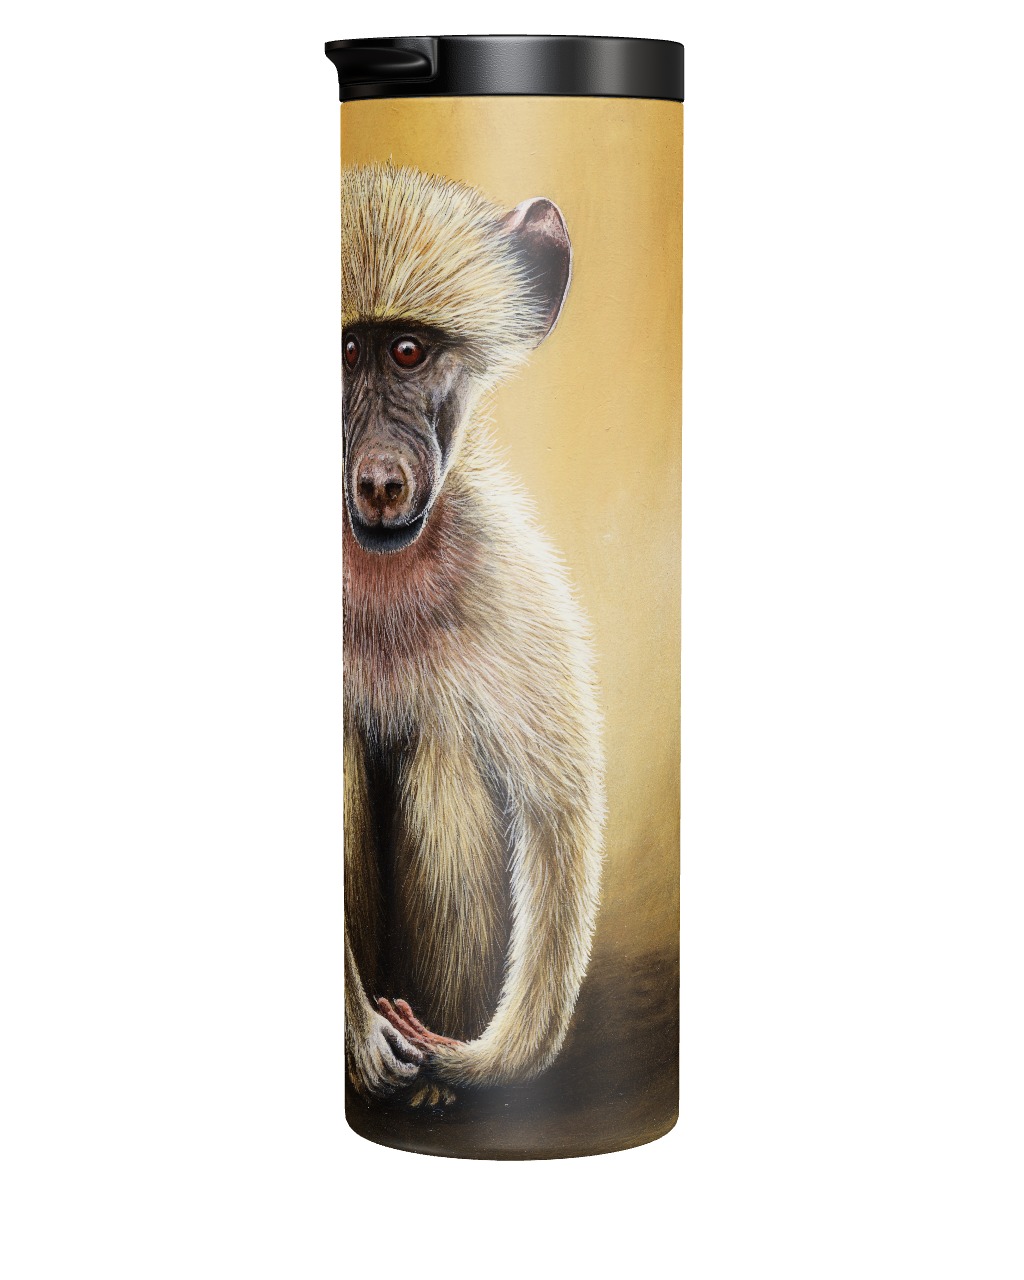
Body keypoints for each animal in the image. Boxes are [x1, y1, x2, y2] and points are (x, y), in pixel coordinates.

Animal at [341, 163, 605, 1104]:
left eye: (408, 352)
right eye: (347, 352)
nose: (382, 480)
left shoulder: (503, 572)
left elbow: (560, 817)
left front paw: (474, 1058)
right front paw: (361, 1034)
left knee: (444, 747)